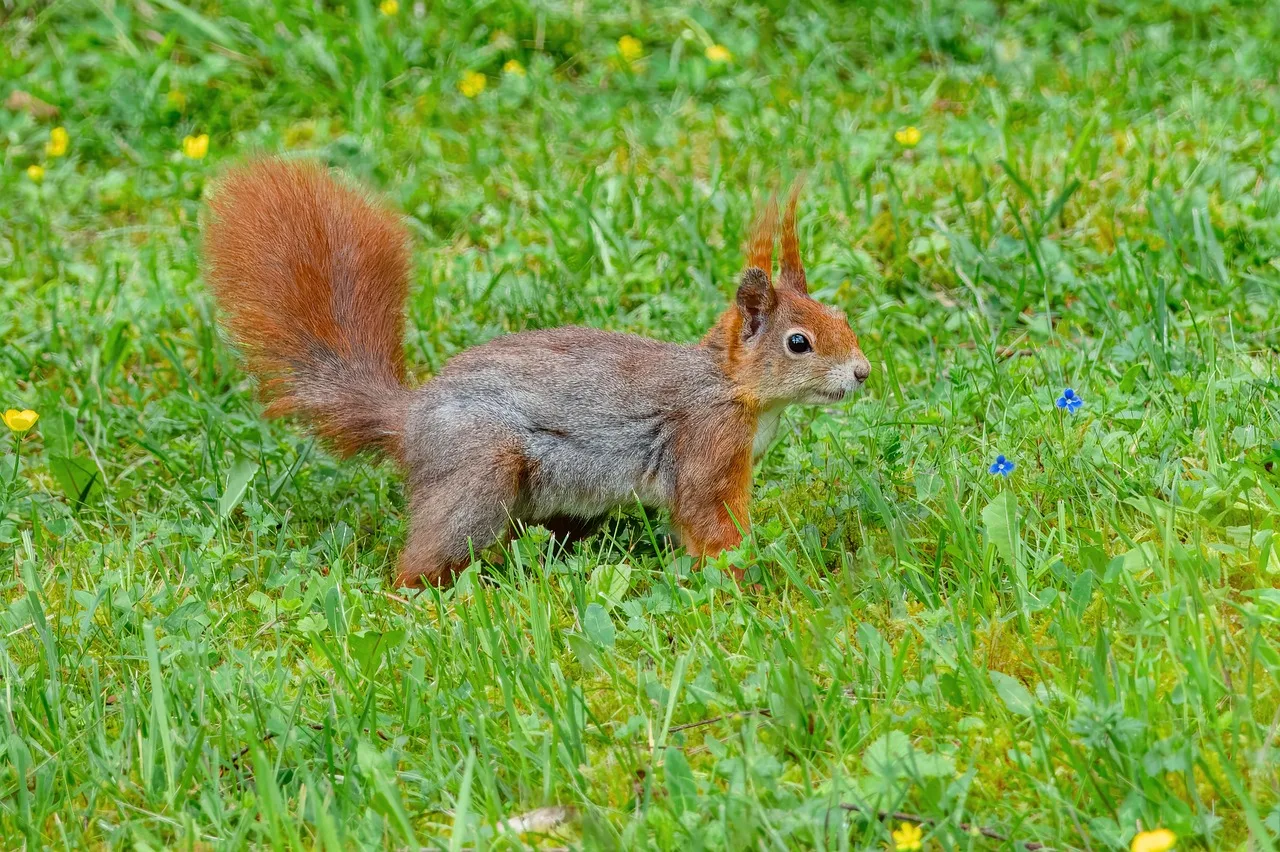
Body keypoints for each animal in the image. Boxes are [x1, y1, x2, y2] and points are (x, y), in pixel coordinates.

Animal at [202, 159, 871, 587]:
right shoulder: (706, 444)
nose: (864, 373)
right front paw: (750, 580)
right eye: (799, 342)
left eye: (842, 315)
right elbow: (709, 521)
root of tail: (408, 420)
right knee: (424, 558)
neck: (733, 388)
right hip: (478, 470)